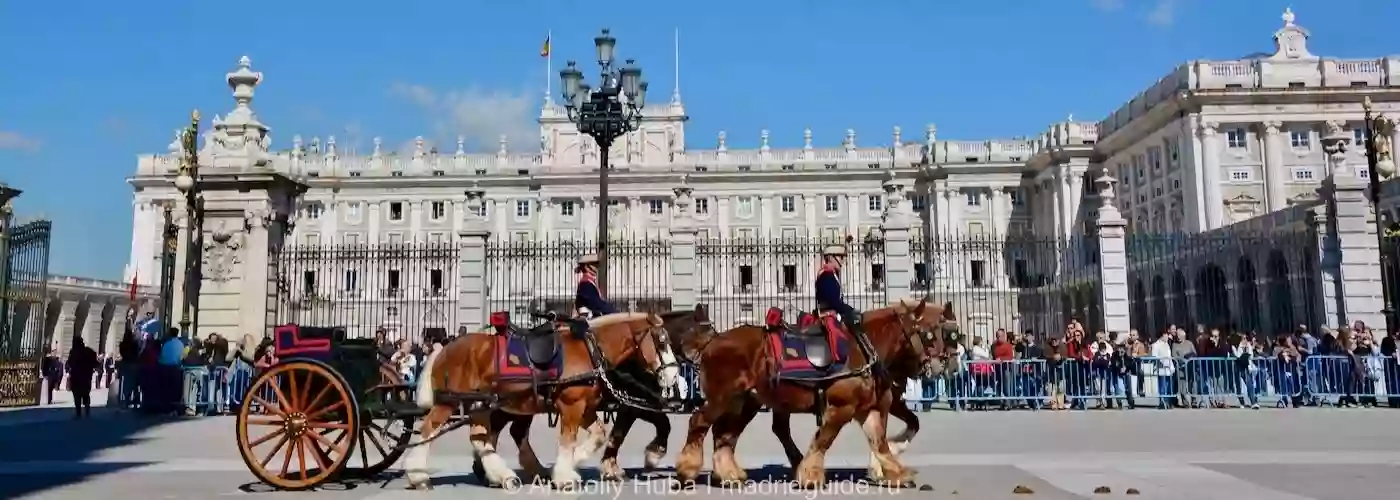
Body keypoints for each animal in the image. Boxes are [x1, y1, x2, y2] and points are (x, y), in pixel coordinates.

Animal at [400, 310, 677, 487]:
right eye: (662, 342)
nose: (674, 374)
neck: (590, 350)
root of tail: (444, 348)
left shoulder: (585, 407)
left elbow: (598, 434)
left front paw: (573, 463)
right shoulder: (572, 407)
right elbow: (568, 440)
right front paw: (564, 474)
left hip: (482, 404)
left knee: (481, 438)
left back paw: (503, 475)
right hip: (448, 402)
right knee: (428, 430)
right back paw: (417, 476)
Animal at [672, 299, 924, 487]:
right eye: (924, 333)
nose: (925, 364)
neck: (861, 347)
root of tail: (712, 341)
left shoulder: (867, 410)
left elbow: (879, 441)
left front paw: (896, 472)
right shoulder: (841, 407)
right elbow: (824, 439)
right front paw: (810, 475)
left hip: (743, 403)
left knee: (725, 435)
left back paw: (729, 473)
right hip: (721, 399)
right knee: (699, 422)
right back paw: (688, 469)